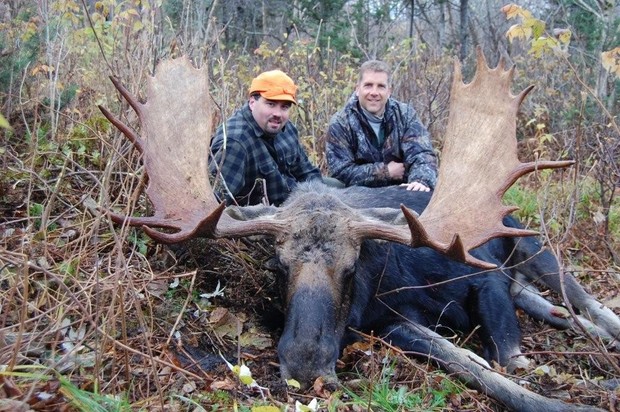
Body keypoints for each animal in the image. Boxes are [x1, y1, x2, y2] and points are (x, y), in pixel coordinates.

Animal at [99, 49, 620, 412]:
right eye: (278, 267)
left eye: (351, 267)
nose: (305, 364)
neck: (394, 276)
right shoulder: (387, 322)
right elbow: (463, 359)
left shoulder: (486, 277)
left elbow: (509, 362)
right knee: (557, 310)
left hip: (529, 243)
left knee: (584, 301)